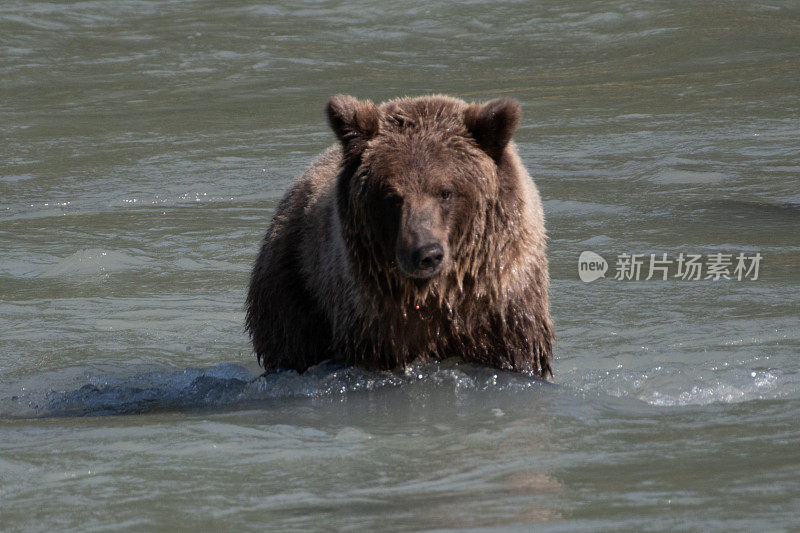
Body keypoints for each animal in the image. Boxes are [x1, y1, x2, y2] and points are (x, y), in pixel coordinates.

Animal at [247, 95, 552, 378]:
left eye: (446, 192)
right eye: (392, 196)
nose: (425, 253)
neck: (438, 293)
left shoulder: (502, 309)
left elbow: (514, 355)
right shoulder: (376, 320)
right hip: (293, 286)